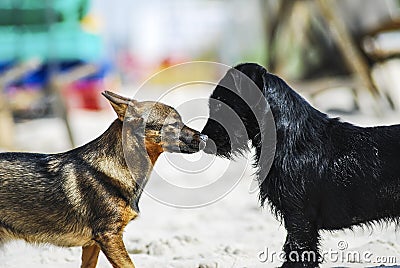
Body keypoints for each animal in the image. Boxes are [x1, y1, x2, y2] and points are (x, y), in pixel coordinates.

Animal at [202, 62, 400, 266]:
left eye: (220, 103)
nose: (203, 139)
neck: (289, 136)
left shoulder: (299, 218)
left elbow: (300, 251)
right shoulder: (296, 220)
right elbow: (291, 249)